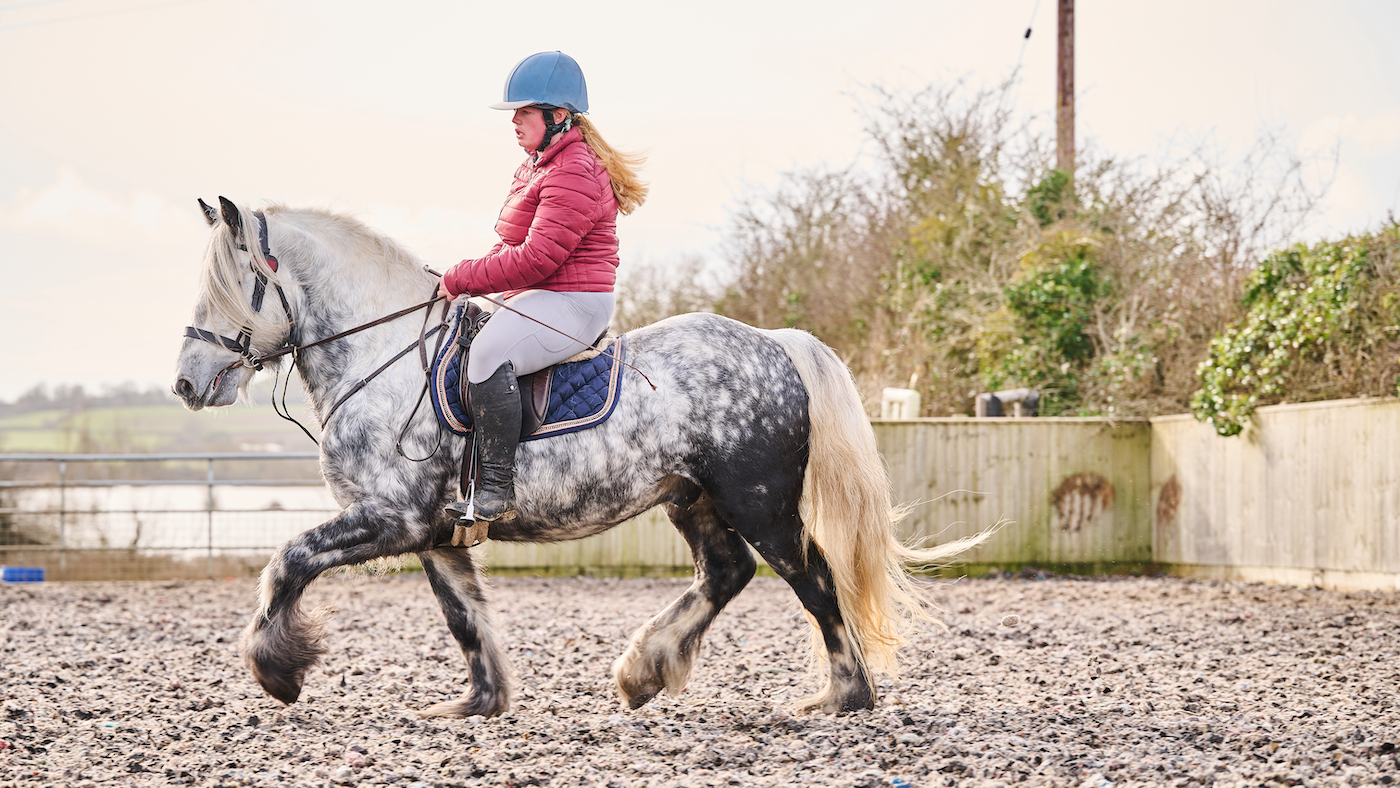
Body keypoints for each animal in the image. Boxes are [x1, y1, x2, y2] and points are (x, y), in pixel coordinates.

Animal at [172, 198, 986, 718]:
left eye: (230, 288)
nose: (185, 384)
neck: (383, 355)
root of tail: (774, 342)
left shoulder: (389, 519)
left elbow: (288, 562)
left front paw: (276, 671)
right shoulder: (433, 532)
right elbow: (463, 615)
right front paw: (479, 703)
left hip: (759, 500)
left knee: (813, 579)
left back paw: (842, 697)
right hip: (693, 497)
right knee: (727, 573)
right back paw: (643, 672)